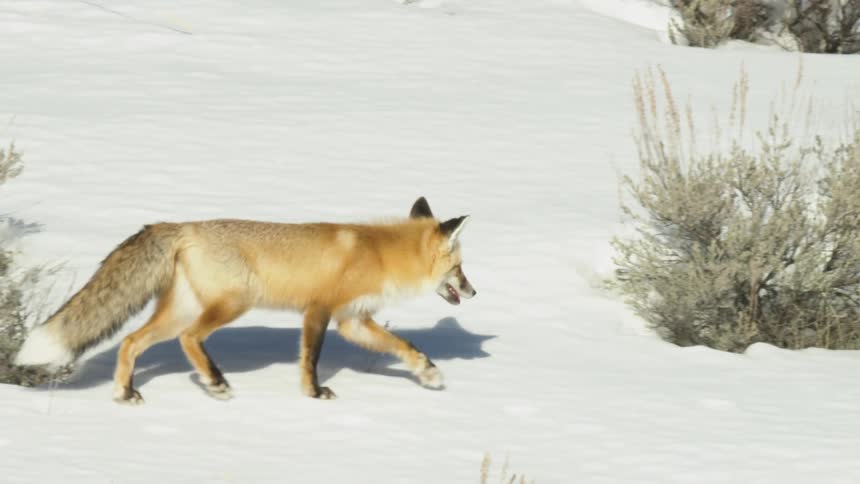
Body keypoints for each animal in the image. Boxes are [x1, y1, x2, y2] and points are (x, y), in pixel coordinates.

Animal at [14, 197, 476, 404]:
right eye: (460, 268)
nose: (474, 292)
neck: (379, 254)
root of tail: (182, 225)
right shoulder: (320, 309)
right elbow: (310, 358)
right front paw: (313, 392)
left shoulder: (353, 321)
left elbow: (407, 347)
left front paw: (429, 374)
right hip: (235, 301)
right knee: (189, 339)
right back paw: (216, 382)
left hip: (180, 310)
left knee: (130, 342)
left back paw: (126, 393)